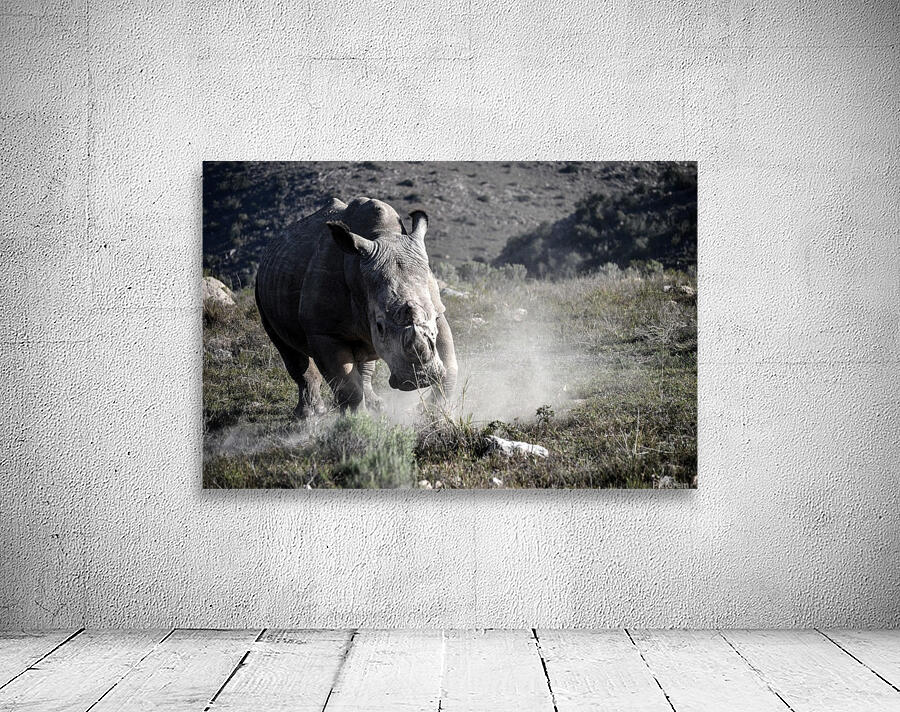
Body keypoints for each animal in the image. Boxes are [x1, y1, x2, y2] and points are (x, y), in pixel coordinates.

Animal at [255, 197, 458, 417]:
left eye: (433, 317)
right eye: (379, 327)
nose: (420, 378)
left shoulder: (438, 309)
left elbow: (450, 363)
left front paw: (435, 410)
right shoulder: (323, 331)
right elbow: (347, 385)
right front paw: (356, 420)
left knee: (365, 356)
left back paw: (376, 405)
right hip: (261, 289)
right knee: (290, 353)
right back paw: (310, 415)